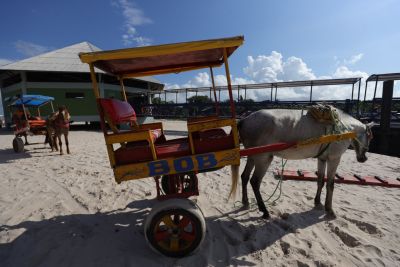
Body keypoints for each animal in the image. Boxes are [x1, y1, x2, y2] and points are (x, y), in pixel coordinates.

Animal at [230, 108, 374, 219]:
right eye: (370, 136)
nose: (364, 158)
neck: (343, 129)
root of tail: (244, 119)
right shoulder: (334, 159)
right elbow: (330, 184)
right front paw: (329, 209)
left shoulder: (322, 159)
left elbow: (320, 180)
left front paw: (318, 202)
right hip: (263, 158)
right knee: (255, 182)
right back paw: (264, 211)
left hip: (252, 156)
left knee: (244, 176)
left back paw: (245, 201)